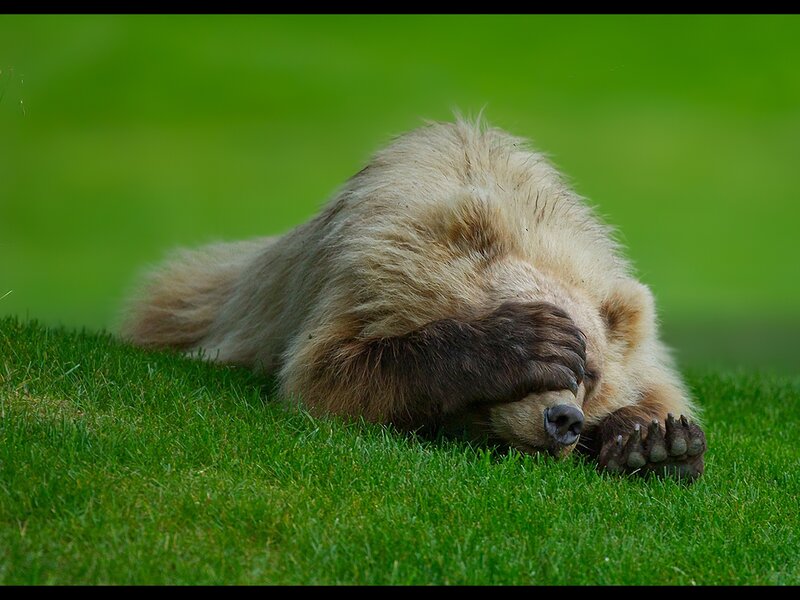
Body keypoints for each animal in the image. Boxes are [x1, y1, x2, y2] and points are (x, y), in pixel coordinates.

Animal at [121, 118, 707, 481]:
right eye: (568, 354)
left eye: (591, 372)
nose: (562, 420)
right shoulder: (364, 274)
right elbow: (327, 372)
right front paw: (521, 343)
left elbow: (657, 389)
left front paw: (656, 443)